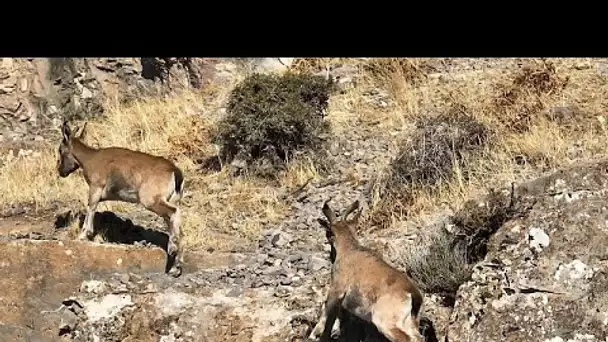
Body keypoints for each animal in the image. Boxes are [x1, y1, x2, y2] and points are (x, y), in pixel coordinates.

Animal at [57, 120, 185, 278]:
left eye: (60, 150)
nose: (61, 171)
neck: (90, 159)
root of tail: (175, 172)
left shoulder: (96, 187)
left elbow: (91, 207)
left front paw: (83, 235)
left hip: (151, 200)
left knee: (174, 212)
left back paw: (173, 254)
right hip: (169, 199)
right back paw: (175, 265)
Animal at [306, 199, 426, 342]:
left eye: (328, 234)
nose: (330, 256)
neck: (349, 250)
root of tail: (413, 293)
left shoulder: (336, 290)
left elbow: (326, 315)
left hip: (385, 321)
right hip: (409, 323)